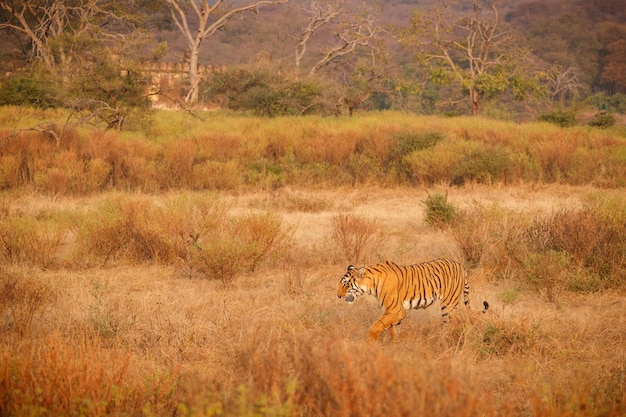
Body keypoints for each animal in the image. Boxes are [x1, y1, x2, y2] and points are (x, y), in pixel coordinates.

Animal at [336, 256, 488, 342]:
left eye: (345, 284)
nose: (338, 295)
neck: (371, 285)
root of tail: (461, 265)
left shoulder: (395, 310)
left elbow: (376, 326)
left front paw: (369, 343)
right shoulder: (393, 312)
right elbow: (394, 330)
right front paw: (396, 345)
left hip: (448, 305)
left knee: (452, 323)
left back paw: (446, 340)